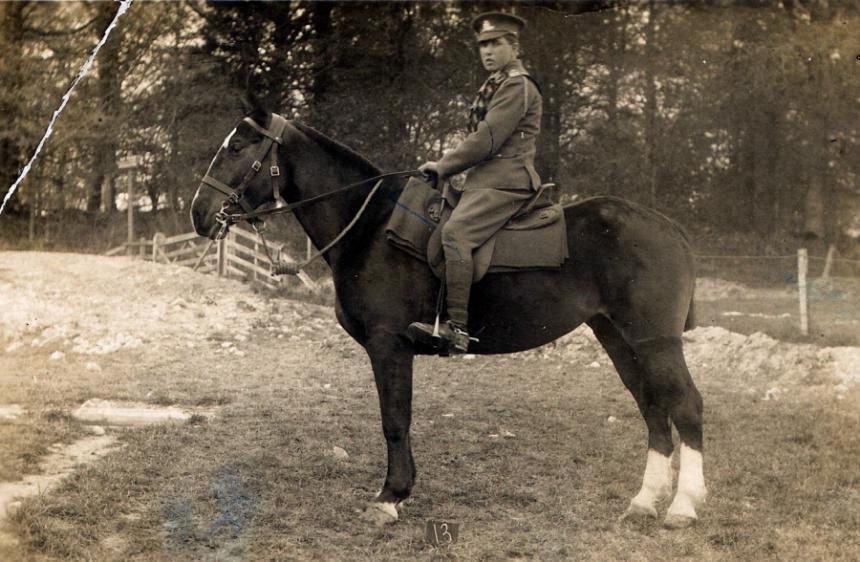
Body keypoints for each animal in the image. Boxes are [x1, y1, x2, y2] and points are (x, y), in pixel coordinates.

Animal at [190, 106, 704, 528]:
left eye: (237, 148)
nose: (199, 214)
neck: (370, 226)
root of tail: (670, 227)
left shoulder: (389, 344)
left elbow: (395, 420)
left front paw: (390, 497)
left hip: (655, 342)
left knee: (686, 406)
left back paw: (682, 507)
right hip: (618, 338)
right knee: (653, 408)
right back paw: (644, 502)